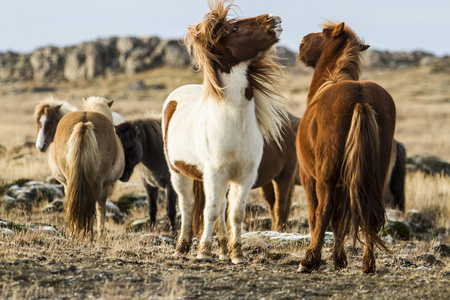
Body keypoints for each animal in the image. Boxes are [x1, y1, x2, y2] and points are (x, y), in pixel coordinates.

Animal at [49, 96, 125, 239]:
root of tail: (84, 124)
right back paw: (89, 235)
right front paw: (101, 233)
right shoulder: (105, 186)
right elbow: (101, 208)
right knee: (91, 205)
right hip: (97, 183)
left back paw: (75, 232)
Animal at [163, 0, 286, 262]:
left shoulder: (245, 176)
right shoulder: (213, 173)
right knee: (188, 206)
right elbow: (208, 211)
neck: (234, 123)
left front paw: (236, 254)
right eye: (234, 29)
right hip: (178, 172)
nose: (274, 18)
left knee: (220, 208)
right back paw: (182, 247)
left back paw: (221, 250)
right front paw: (203, 252)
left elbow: (235, 213)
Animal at [298, 22, 396, 274]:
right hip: (374, 174)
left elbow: (317, 215)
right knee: (370, 213)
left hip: (325, 177)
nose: (302, 42)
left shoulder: (307, 177)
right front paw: (339, 258)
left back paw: (308, 260)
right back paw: (368, 263)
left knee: (323, 210)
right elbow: (339, 219)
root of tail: (360, 99)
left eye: (322, 33)